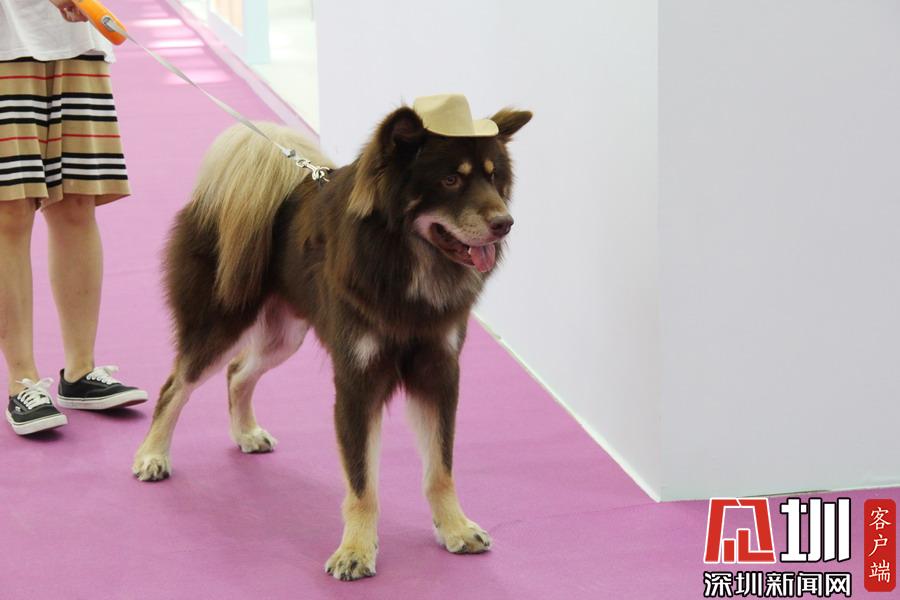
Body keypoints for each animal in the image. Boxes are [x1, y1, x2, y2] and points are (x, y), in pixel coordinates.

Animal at [132, 94, 531, 580]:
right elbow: (363, 482)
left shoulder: (438, 371)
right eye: (451, 179)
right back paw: (152, 454)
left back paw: (246, 432)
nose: (505, 222)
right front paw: (355, 551)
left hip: (284, 336)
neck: (403, 262)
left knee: (237, 372)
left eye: (494, 178)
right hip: (219, 324)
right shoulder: (357, 380)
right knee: (177, 385)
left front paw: (455, 528)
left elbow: (440, 467)